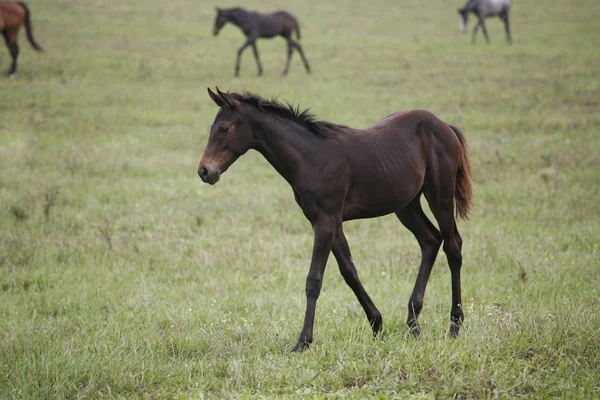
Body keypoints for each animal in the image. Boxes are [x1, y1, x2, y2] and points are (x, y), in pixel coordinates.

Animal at [199, 88, 472, 354]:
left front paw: (303, 342)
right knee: (430, 240)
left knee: (453, 245)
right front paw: (376, 324)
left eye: (224, 128)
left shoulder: (325, 222)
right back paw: (413, 323)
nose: (204, 171)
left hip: (439, 195)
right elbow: (349, 272)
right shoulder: (330, 221)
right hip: (406, 205)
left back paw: (454, 325)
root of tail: (444, 126)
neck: (311, 158)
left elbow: (314, 280)